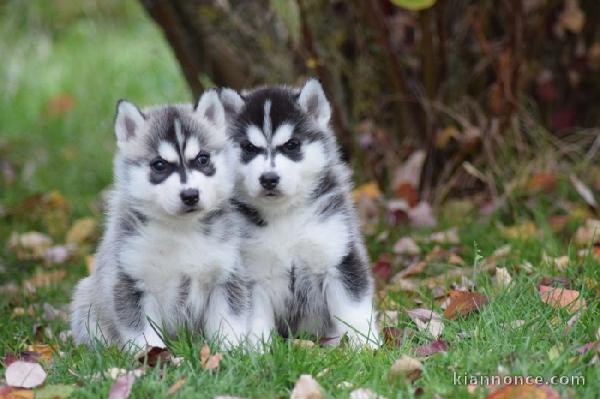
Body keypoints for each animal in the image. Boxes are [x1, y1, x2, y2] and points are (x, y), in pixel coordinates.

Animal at [70, 90, 248, 350]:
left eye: (203, 159)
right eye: (160, 164)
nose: (190, 195)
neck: (182, 230)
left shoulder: (226, 274)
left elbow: (229, 320)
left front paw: (232, 350)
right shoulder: (130, 280)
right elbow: (141, 331)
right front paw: (152, 355)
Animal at [220, 79, 380, 348]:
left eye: (291, 145)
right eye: (248, 148)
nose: (269, 178)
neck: (284, 215)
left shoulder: (339, 258)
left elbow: (353, 312)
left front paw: (366, 347)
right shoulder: (252, 277)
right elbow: (255, 322)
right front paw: (257, 352)